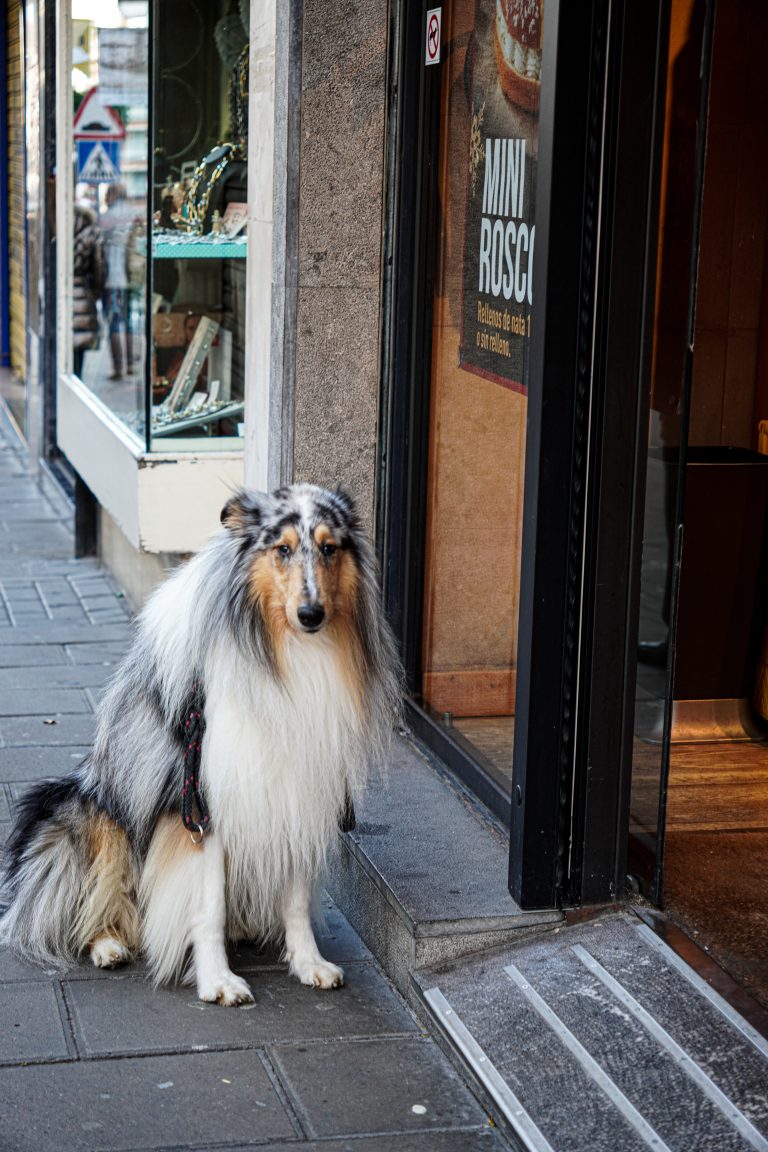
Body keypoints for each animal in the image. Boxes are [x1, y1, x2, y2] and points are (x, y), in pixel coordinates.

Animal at [0, 481, 405, 1004]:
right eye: (282, 549)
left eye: (330, 548)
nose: (311, 614)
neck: (285, 654)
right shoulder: (200, 799)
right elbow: (207, 905)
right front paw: (218, 981)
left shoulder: (298, 788)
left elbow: (294, 899)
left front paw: (309, 963)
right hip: (93, 815)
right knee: (96, 901)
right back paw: (108, 944)